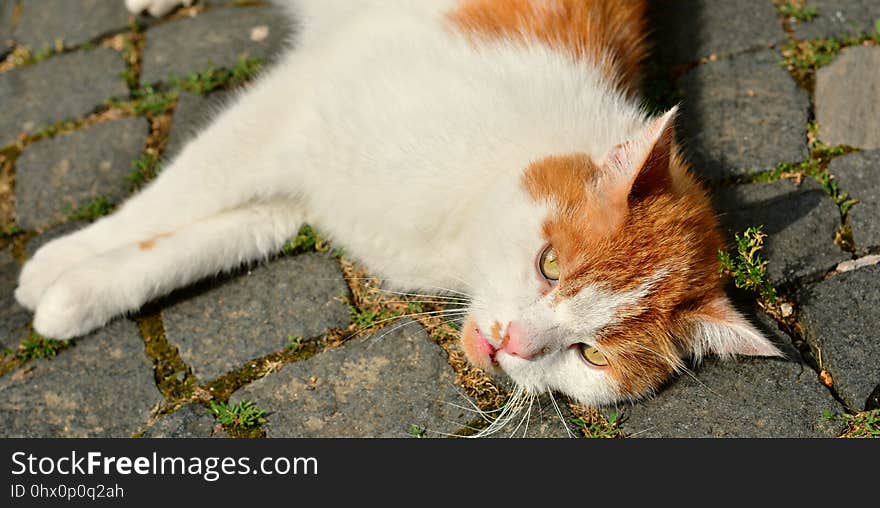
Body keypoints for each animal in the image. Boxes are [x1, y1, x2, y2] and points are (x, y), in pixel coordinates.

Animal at [17, 0, 780, 410]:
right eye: (550, 264)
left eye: (590, 354)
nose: (512, 341)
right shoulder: (287, 117)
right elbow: (179, 190)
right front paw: (63, 256)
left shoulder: (305, 196)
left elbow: (191, 244)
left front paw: (77, 292)